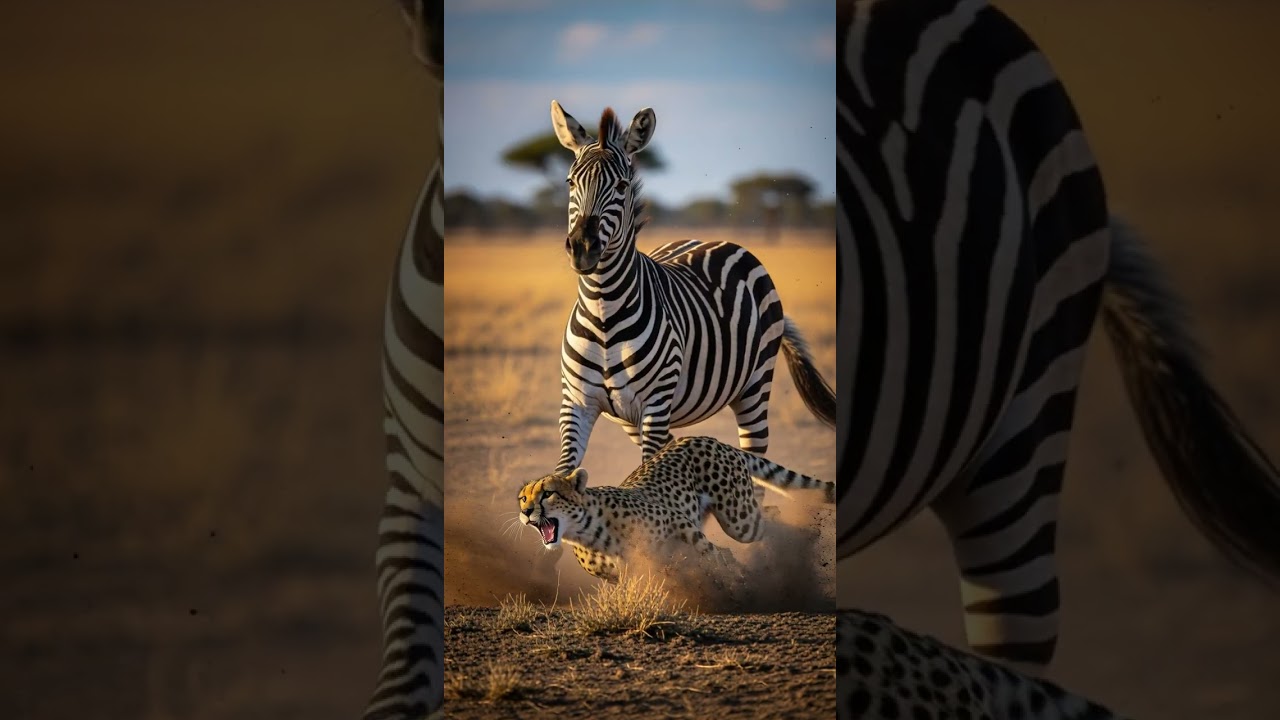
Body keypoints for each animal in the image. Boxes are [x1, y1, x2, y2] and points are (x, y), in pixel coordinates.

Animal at [547, 100, 837, 490]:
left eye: (622, 185)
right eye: (570, 182)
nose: (583, 248)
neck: (603, 306)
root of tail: (713, 240)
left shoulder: (655, 405)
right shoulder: (576, 404)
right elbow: (564, 471)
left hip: (754, 387)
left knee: (756, 461)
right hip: (634, 419)